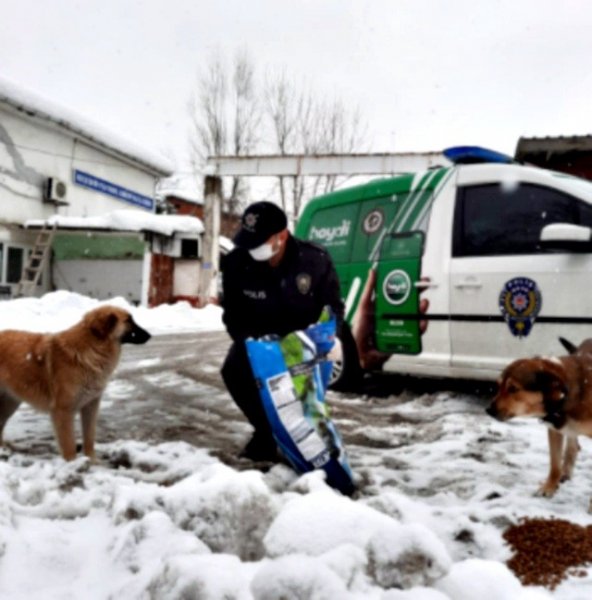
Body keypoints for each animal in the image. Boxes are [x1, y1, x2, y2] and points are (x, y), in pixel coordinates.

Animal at [0, 308, 150, 462]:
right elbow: (69, 444)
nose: (149, 336)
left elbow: (89, 437)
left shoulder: (90, 406)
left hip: (10, 403)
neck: (92, 349)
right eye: (128, 321)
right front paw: (72, 463)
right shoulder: (63, 411)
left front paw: (92, 461)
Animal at [488, 340, 592, 504]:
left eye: (513, 388)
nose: (488, 410)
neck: (564, 397)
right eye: (499, 386)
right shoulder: (555, 430)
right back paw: (566, 472)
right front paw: (548, 488)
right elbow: (554, 465)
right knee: (573, 446)